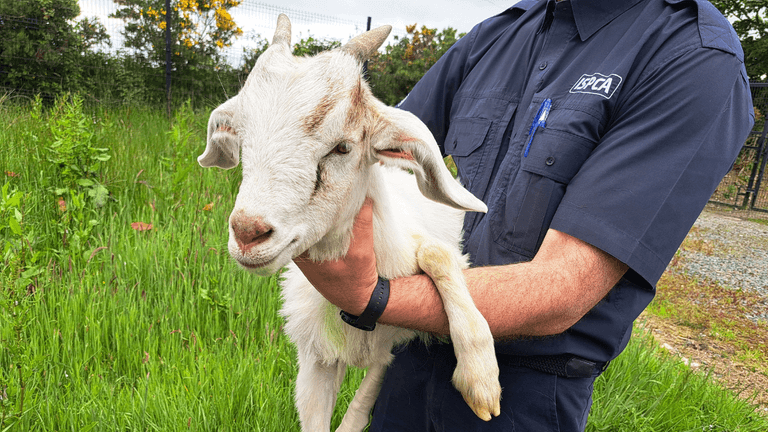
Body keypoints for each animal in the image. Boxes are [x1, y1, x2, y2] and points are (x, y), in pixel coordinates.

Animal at [197, 14, 501, 431]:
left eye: (342, 147)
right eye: (242, 139)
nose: (248, 233)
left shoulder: (389, 347)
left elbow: (436, 254)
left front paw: (480, 377)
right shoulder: (315, 360)